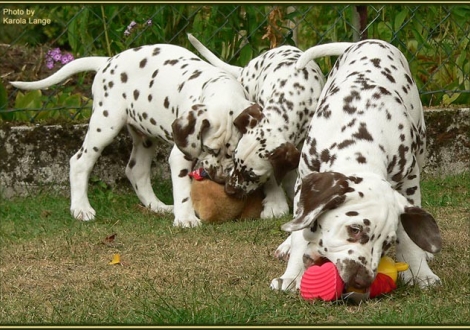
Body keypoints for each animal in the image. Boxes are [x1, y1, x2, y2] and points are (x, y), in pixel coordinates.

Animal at [11, 43, 255, 228]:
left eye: (234, 155)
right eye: (209, 149)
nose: (219, 179)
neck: (222, 89)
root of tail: (107, 61)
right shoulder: (181, 154)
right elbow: (183, 187)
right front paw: (185, 218)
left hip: (145, 136)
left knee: (136, 170)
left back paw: (157, 206)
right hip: (105, 124)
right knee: (79, 161)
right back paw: (81, 208)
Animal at [187, 34, 348, 219]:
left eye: (251, 175)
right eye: (234, 161)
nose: (228, 190)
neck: (292, 95)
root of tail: (245, 69)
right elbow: (274, 178)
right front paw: (275, 204)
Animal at [270, 40, 442, 292]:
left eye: (387, 243)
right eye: (355, 229)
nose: (362, 280)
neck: (361, 130)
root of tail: (368, 41)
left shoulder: (409, 180)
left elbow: (408, 233)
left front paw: (420, 272)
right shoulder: (304, 178)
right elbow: (302, 228)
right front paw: (291, 276)